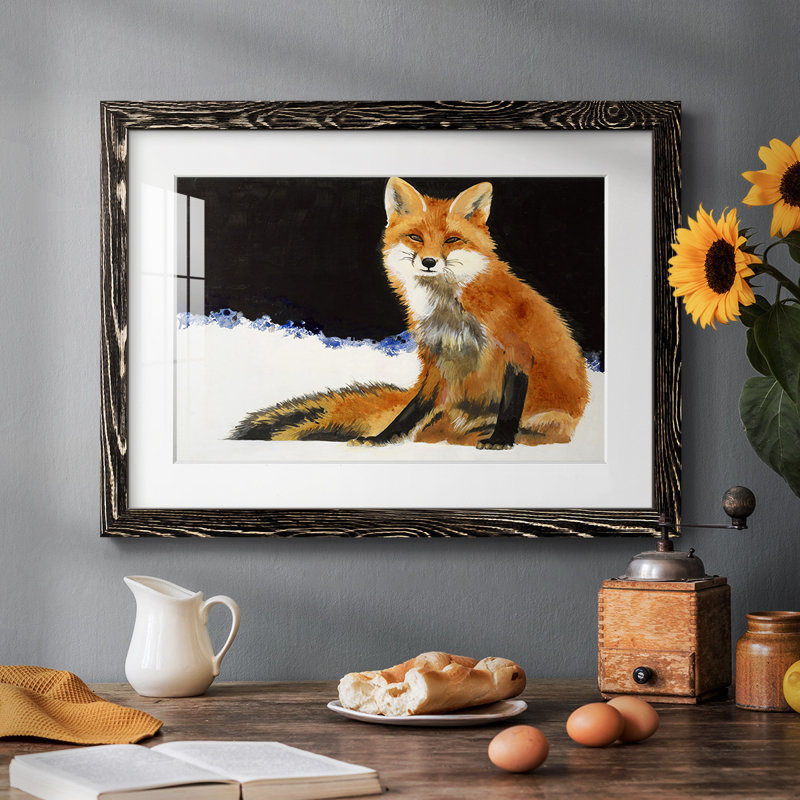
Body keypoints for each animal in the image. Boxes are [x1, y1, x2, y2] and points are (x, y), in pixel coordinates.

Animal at [230, 177, 590, 449]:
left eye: (452, 240)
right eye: (416, 237)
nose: (429, 262)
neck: (451, 312)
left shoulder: (516, 350)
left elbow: (510, 406)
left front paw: (500, 439)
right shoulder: (437, 361)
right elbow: (410, 411)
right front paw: (382, 438)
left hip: (551, 419)